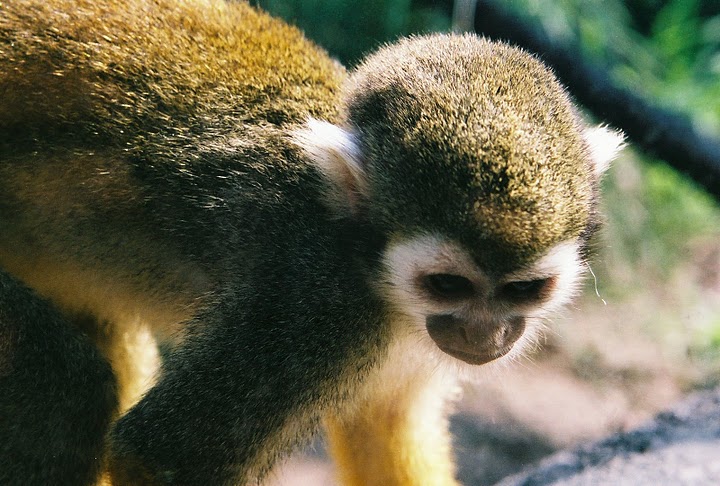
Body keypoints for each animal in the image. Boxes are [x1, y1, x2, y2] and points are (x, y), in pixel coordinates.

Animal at [0, 0, 624, 484]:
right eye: (448, 284)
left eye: (523, 290)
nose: (485, 336)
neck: (381, 287)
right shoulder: (312, 307)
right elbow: (162, 457)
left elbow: (385, 422)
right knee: (65, 389)